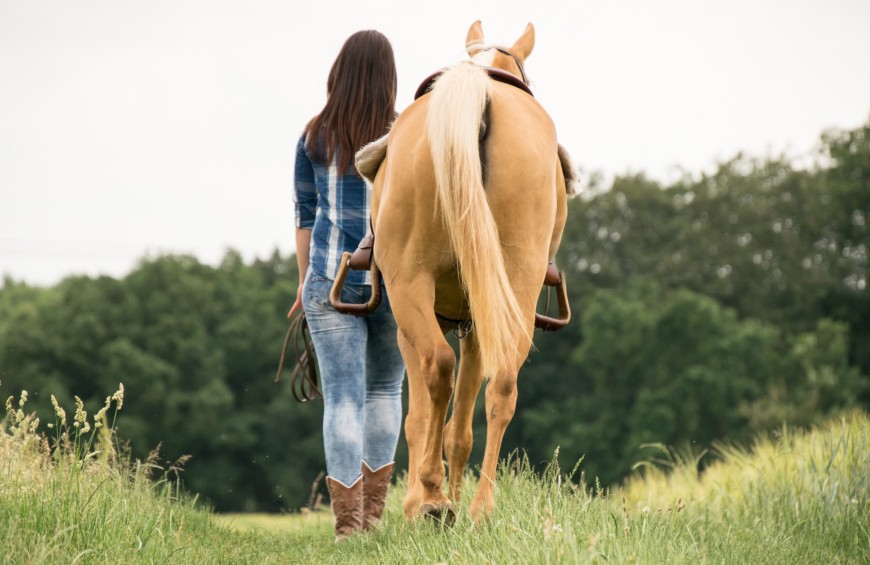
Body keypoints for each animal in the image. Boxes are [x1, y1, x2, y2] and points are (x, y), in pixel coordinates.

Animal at [343, 20, 573, 523]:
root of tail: (476, 90)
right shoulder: (476, 322)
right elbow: (460, 428)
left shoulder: (408, 325)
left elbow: (419, 417)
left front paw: (420, 498)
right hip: (513, 285)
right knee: (502, 382)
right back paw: (480, 507)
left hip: (411, 287)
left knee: (437, 367)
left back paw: (431, 498)